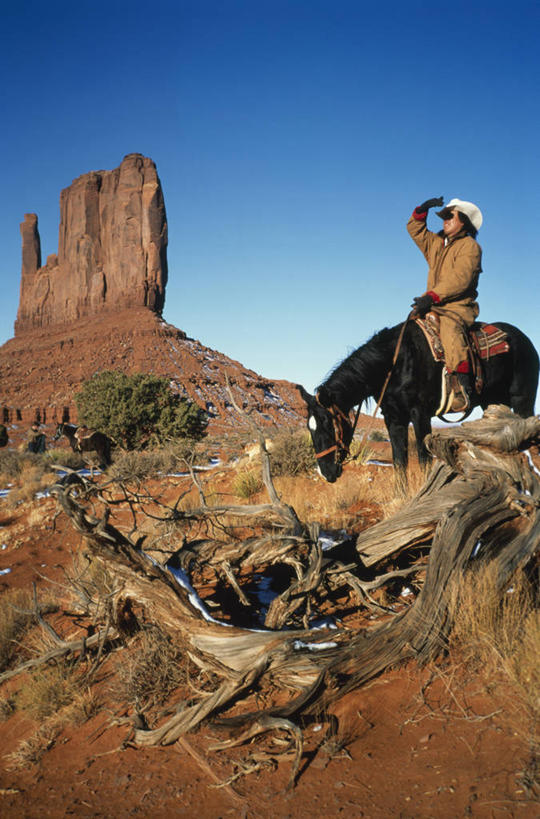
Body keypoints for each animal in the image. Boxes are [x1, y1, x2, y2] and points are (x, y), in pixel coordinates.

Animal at [298, 320, 536, 484]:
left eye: (329, 426)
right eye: (310, 428)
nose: (326, 472)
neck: (393, 364)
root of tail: (525, 339)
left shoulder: (420, 415)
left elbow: (424, 460)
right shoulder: (394, 419)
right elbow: (399, 462)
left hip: (523, 400)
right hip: (492, 403)